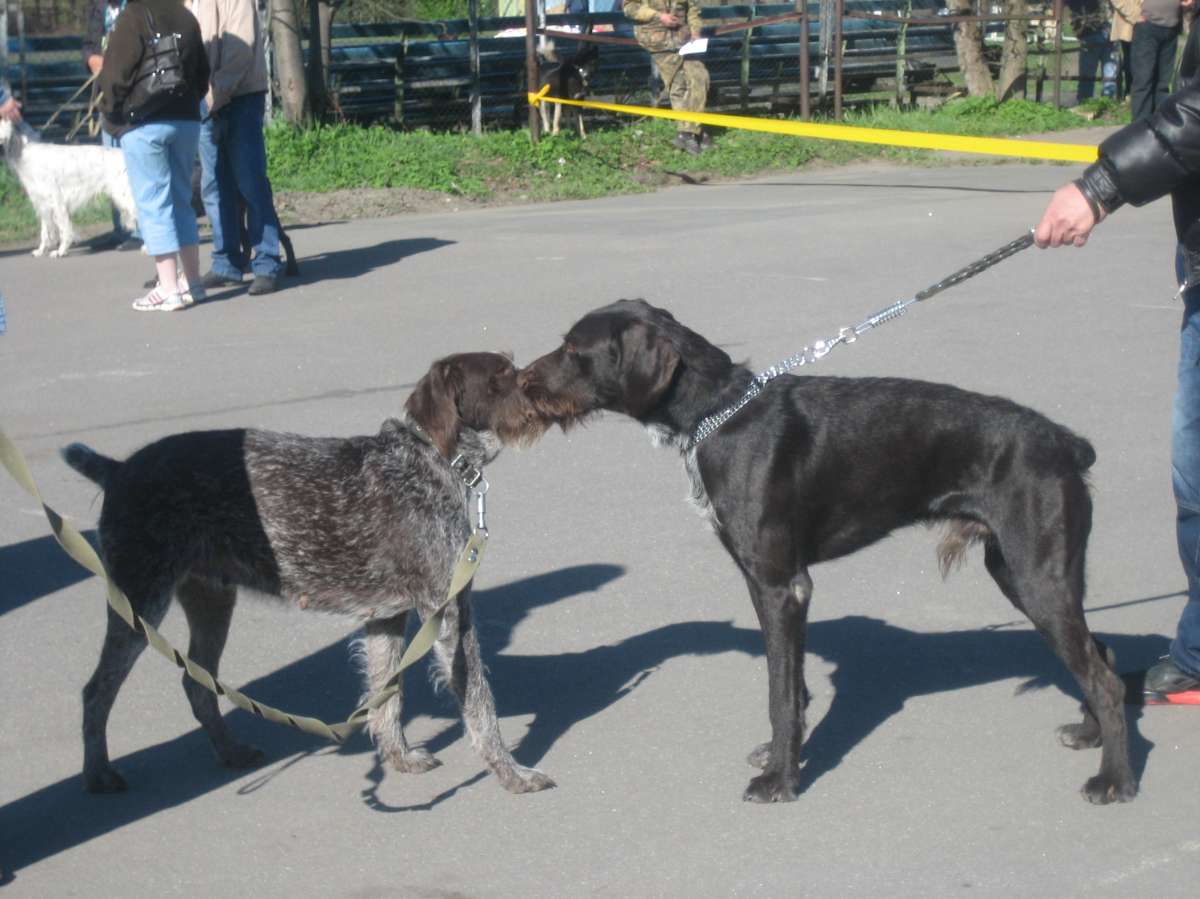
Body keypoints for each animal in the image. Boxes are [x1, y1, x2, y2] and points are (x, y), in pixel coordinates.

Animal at [0, 119, 138, 258]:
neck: (25, 152)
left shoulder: (57, 202)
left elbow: (64, 230)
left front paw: (60, 251)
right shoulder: (42, 204)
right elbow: (45, 232)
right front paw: (41, 250)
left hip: (124, 196)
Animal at [63, 352, 553, 796]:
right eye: (501, 374)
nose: (541, 386)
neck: (428, 460)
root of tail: (118, 469)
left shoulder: (387, 617)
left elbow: (386, 694)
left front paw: (398, 757)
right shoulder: (448, 611)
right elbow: (479, 704)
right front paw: (513, 774)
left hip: (211, 600)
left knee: (196, 682)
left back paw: (230, 751)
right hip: (140, 602)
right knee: (96, 690)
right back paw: (98, 774)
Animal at [519, 298, 1135, 805]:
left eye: (573, 350)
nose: (520, 382)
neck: (719, 412)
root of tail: (1065, 443)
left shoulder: (781, 585)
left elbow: (779, 690)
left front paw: (780, 780)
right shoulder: (767, 582)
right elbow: (790, 685)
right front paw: (781, 754)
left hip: (1036, 574)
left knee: (1104, 678)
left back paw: (1115, 781)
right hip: (1019, 570)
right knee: (1100, 656)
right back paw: (1089, 735)